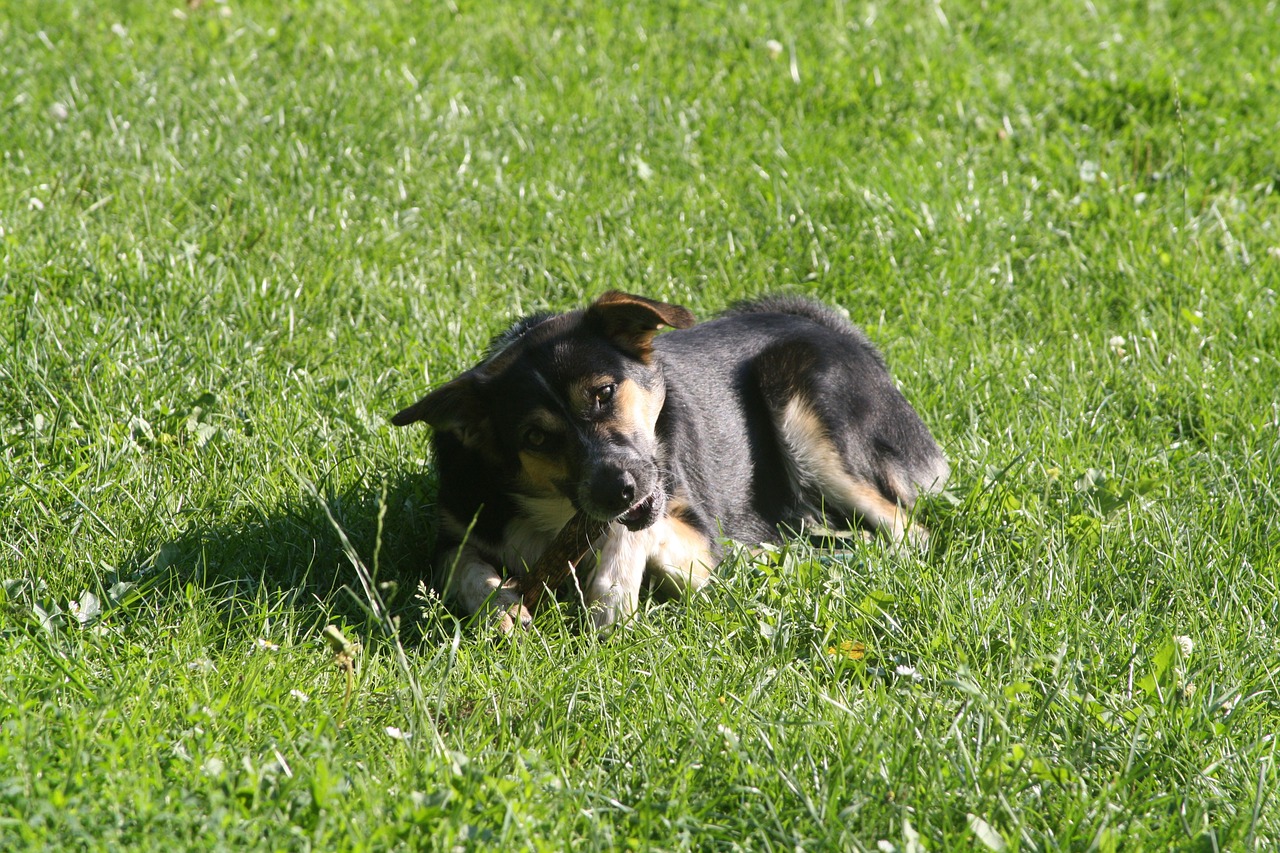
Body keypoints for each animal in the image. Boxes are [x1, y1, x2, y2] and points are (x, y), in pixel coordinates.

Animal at [391, 292, 952, 630]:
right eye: (535, 437)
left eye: (604, 393)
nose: (618, 487)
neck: (556, 512)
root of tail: (844, 334)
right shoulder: (453, 533)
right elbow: (465, 570)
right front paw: (497, 607)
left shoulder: (691, 533)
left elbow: (638, 531)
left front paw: (612, 593)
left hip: (801, 404)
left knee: (910, 533)